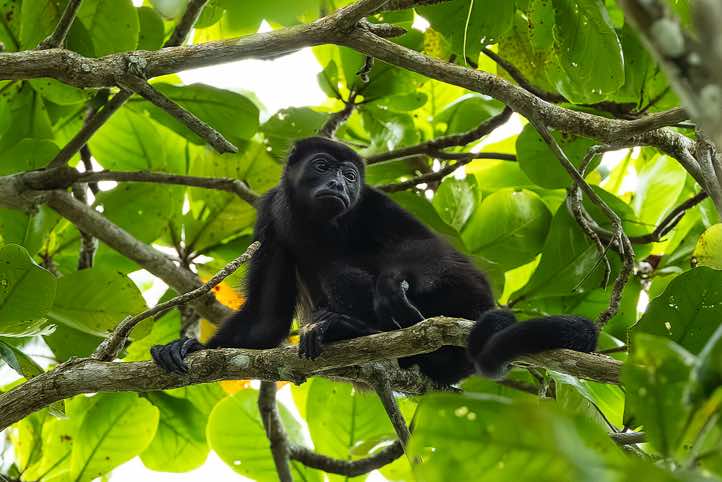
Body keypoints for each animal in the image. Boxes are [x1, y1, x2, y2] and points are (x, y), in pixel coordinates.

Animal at [151, 136, 598, 385]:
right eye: (322, 166)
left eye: (350, 175)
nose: (338, 183)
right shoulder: (270, 220)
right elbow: (266, 318)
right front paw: (187, 347)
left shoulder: (371, 201)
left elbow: (438, 251)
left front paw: (391, 285)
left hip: (467, 302)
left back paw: (349, 328)